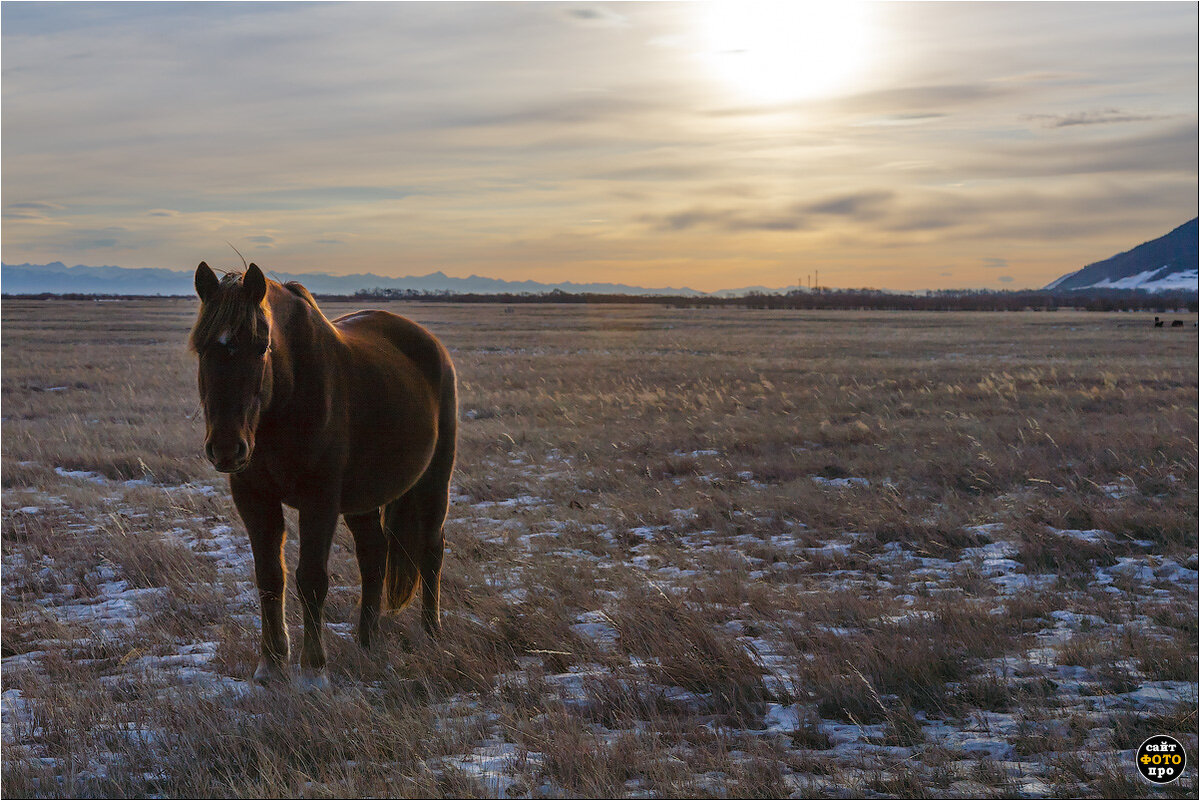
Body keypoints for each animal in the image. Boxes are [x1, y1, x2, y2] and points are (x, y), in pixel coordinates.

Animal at [189, 262, 457, 690]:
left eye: (261, 346)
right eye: (202, 348)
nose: (228, 447)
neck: (286, 401)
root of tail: (431, 346)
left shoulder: (320, 501)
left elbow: (311, 578)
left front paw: (313, 670)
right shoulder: (254, 497)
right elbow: (270, 577)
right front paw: (271, 664)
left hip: (434, 481)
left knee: (432, 550)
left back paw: (432, 634)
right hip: (365, 498)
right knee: (374, 554)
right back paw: (368, 641)